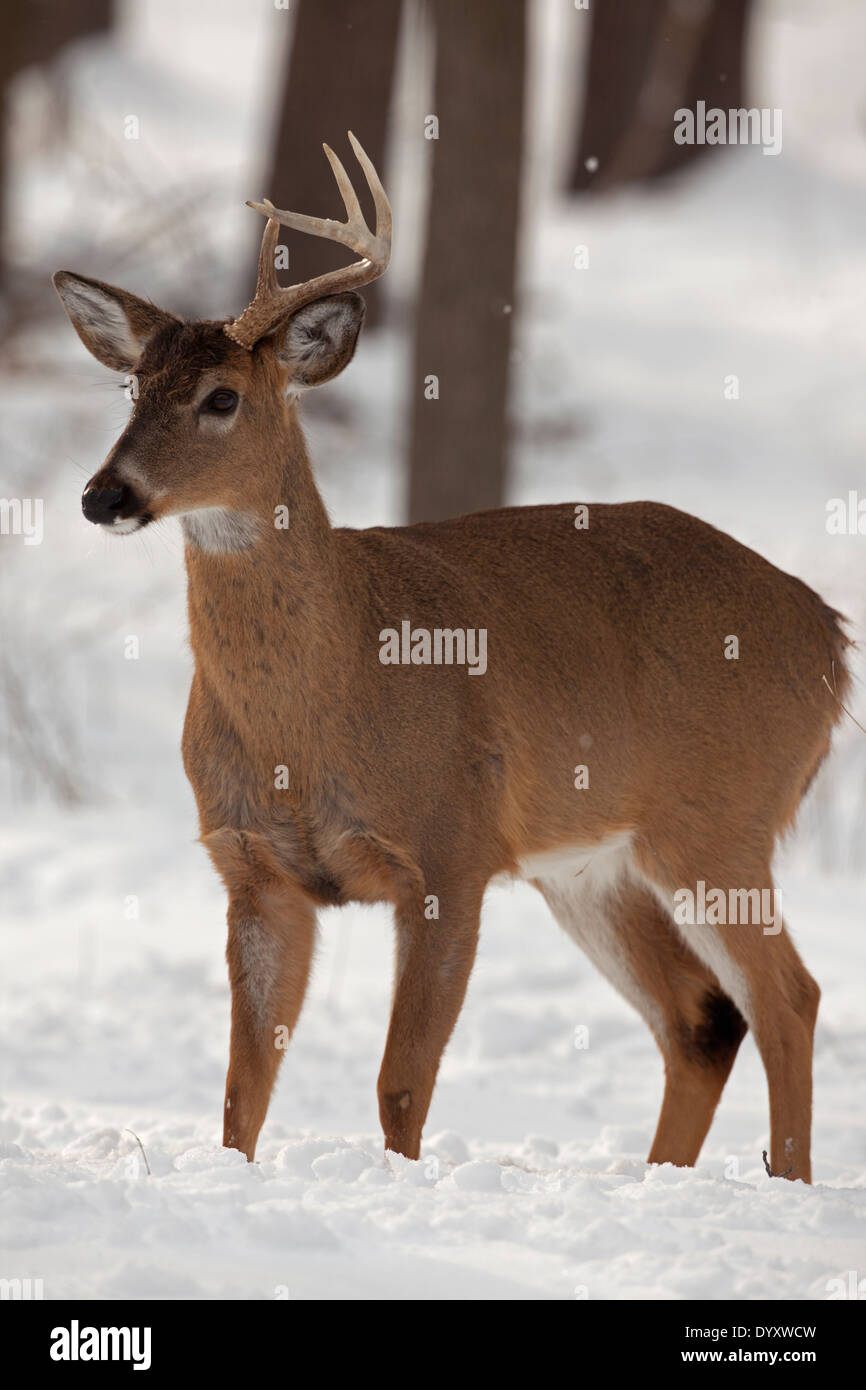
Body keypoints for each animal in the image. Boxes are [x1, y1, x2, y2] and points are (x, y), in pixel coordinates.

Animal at [54, 134, 851, 1183]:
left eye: (222, 397)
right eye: (132, 389)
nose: (104, 495)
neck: (322, 703)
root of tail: (832, 635)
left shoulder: (450, 848)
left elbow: (401, 1081)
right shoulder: (254, 870)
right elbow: (240, 1093)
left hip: (722, 819)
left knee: (787, 997)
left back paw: (786, 1183)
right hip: (592, 864)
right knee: (701, 1016)